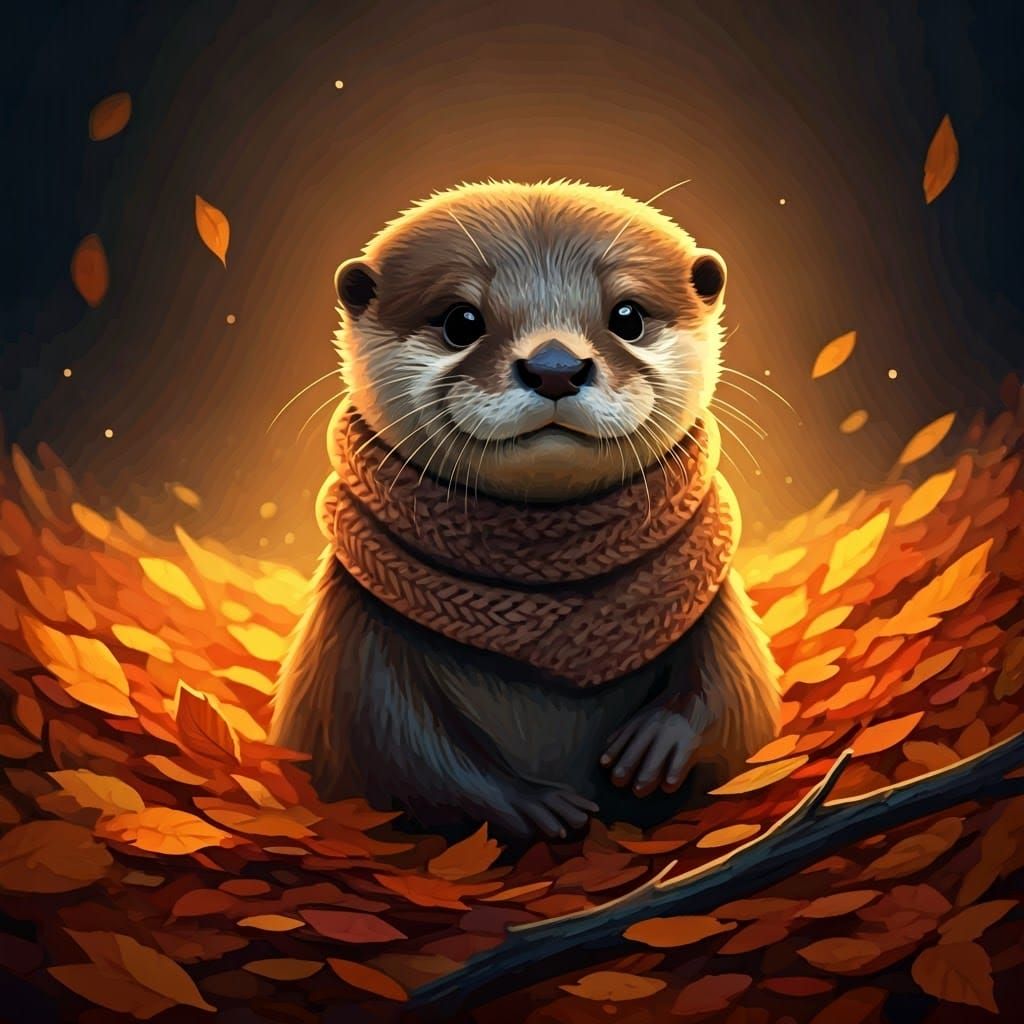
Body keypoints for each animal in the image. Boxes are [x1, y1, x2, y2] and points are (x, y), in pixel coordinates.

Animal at [271, 181, 780, 842]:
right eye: (461, 320)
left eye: (628, 316)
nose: (555, 367)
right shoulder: (352, 640)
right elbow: (396, 746)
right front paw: (535, 807)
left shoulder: (715, 603)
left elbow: (736, 693)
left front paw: (657, 743)